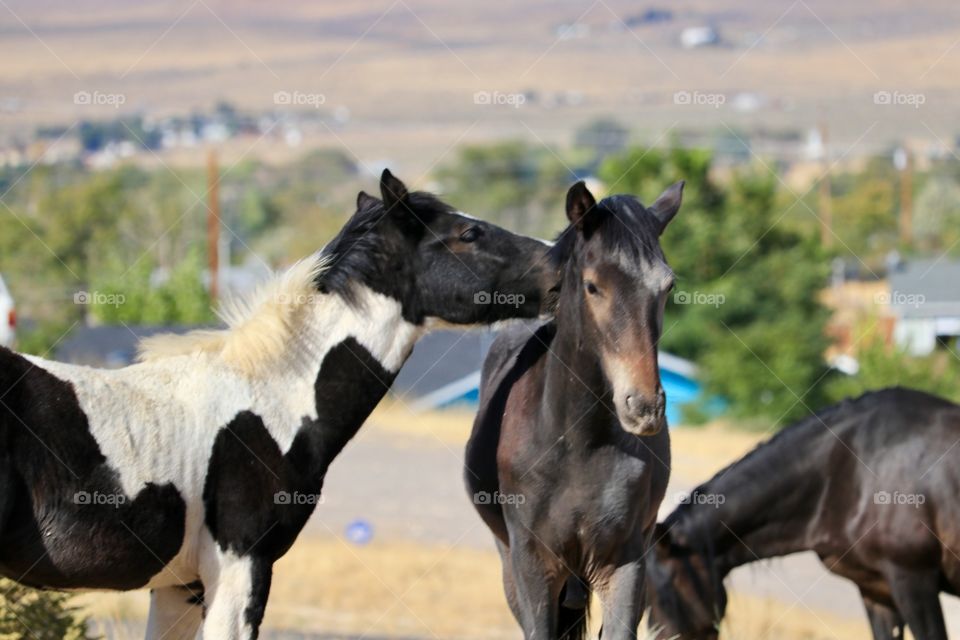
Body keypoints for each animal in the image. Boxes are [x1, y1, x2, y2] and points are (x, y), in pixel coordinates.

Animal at [464, 180, 684, 640]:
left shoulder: (624, 564)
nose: (644, 407)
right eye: (592, 285)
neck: (579, 441)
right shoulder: (534, 567)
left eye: (667, 287)